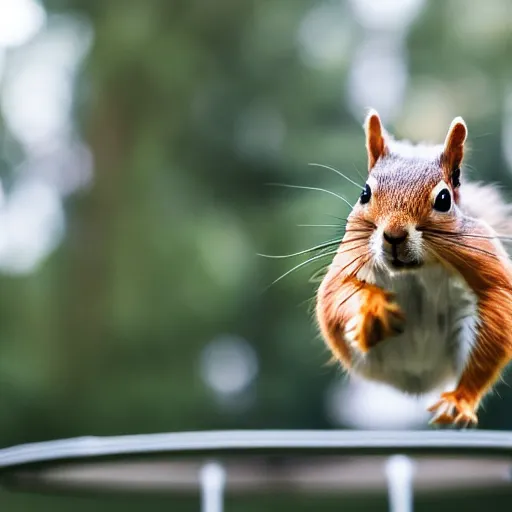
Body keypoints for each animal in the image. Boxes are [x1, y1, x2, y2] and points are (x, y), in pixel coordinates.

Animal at [316, 110, 512, 426]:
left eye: (444, 199)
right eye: (365, 193)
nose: (394, 235)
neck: (413, 270)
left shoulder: (486, 270)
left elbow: (495, 314)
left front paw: (460, 400)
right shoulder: (350, 262)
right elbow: (337, 295)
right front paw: (373, 311)